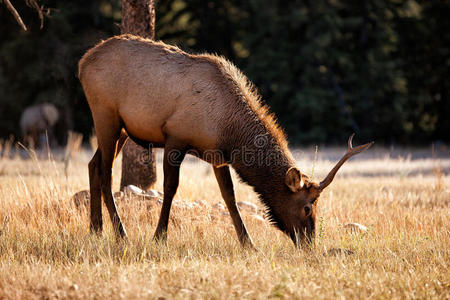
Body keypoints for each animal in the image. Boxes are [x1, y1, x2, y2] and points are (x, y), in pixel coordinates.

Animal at [78, 34, 372, 247]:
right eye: (308, 208)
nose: (309, 243)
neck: (228, 129)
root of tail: (82, 63)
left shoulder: (217, 155)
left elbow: (229, 195)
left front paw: (248, 243)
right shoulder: (175, 138)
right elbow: (170, 189)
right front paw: (159, 237)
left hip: (121, 129)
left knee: (93, 165)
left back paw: (95, 230)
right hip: (106, 115)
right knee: (105, 173)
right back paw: (120, 233)